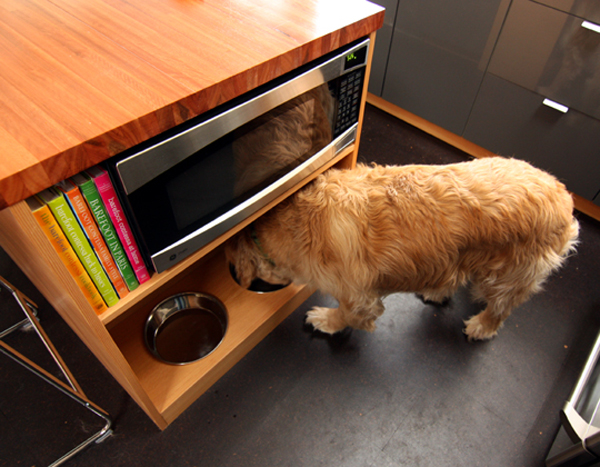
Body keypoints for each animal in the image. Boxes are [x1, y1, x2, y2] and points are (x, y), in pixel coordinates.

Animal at [224, 157, 576, 340]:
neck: (299, 222)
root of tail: (564, 196)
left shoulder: (359, 297)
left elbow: (349, 315)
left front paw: (325, 320)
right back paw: (436, 292)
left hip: (507, 276)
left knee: (500, 308)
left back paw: (481, 326)